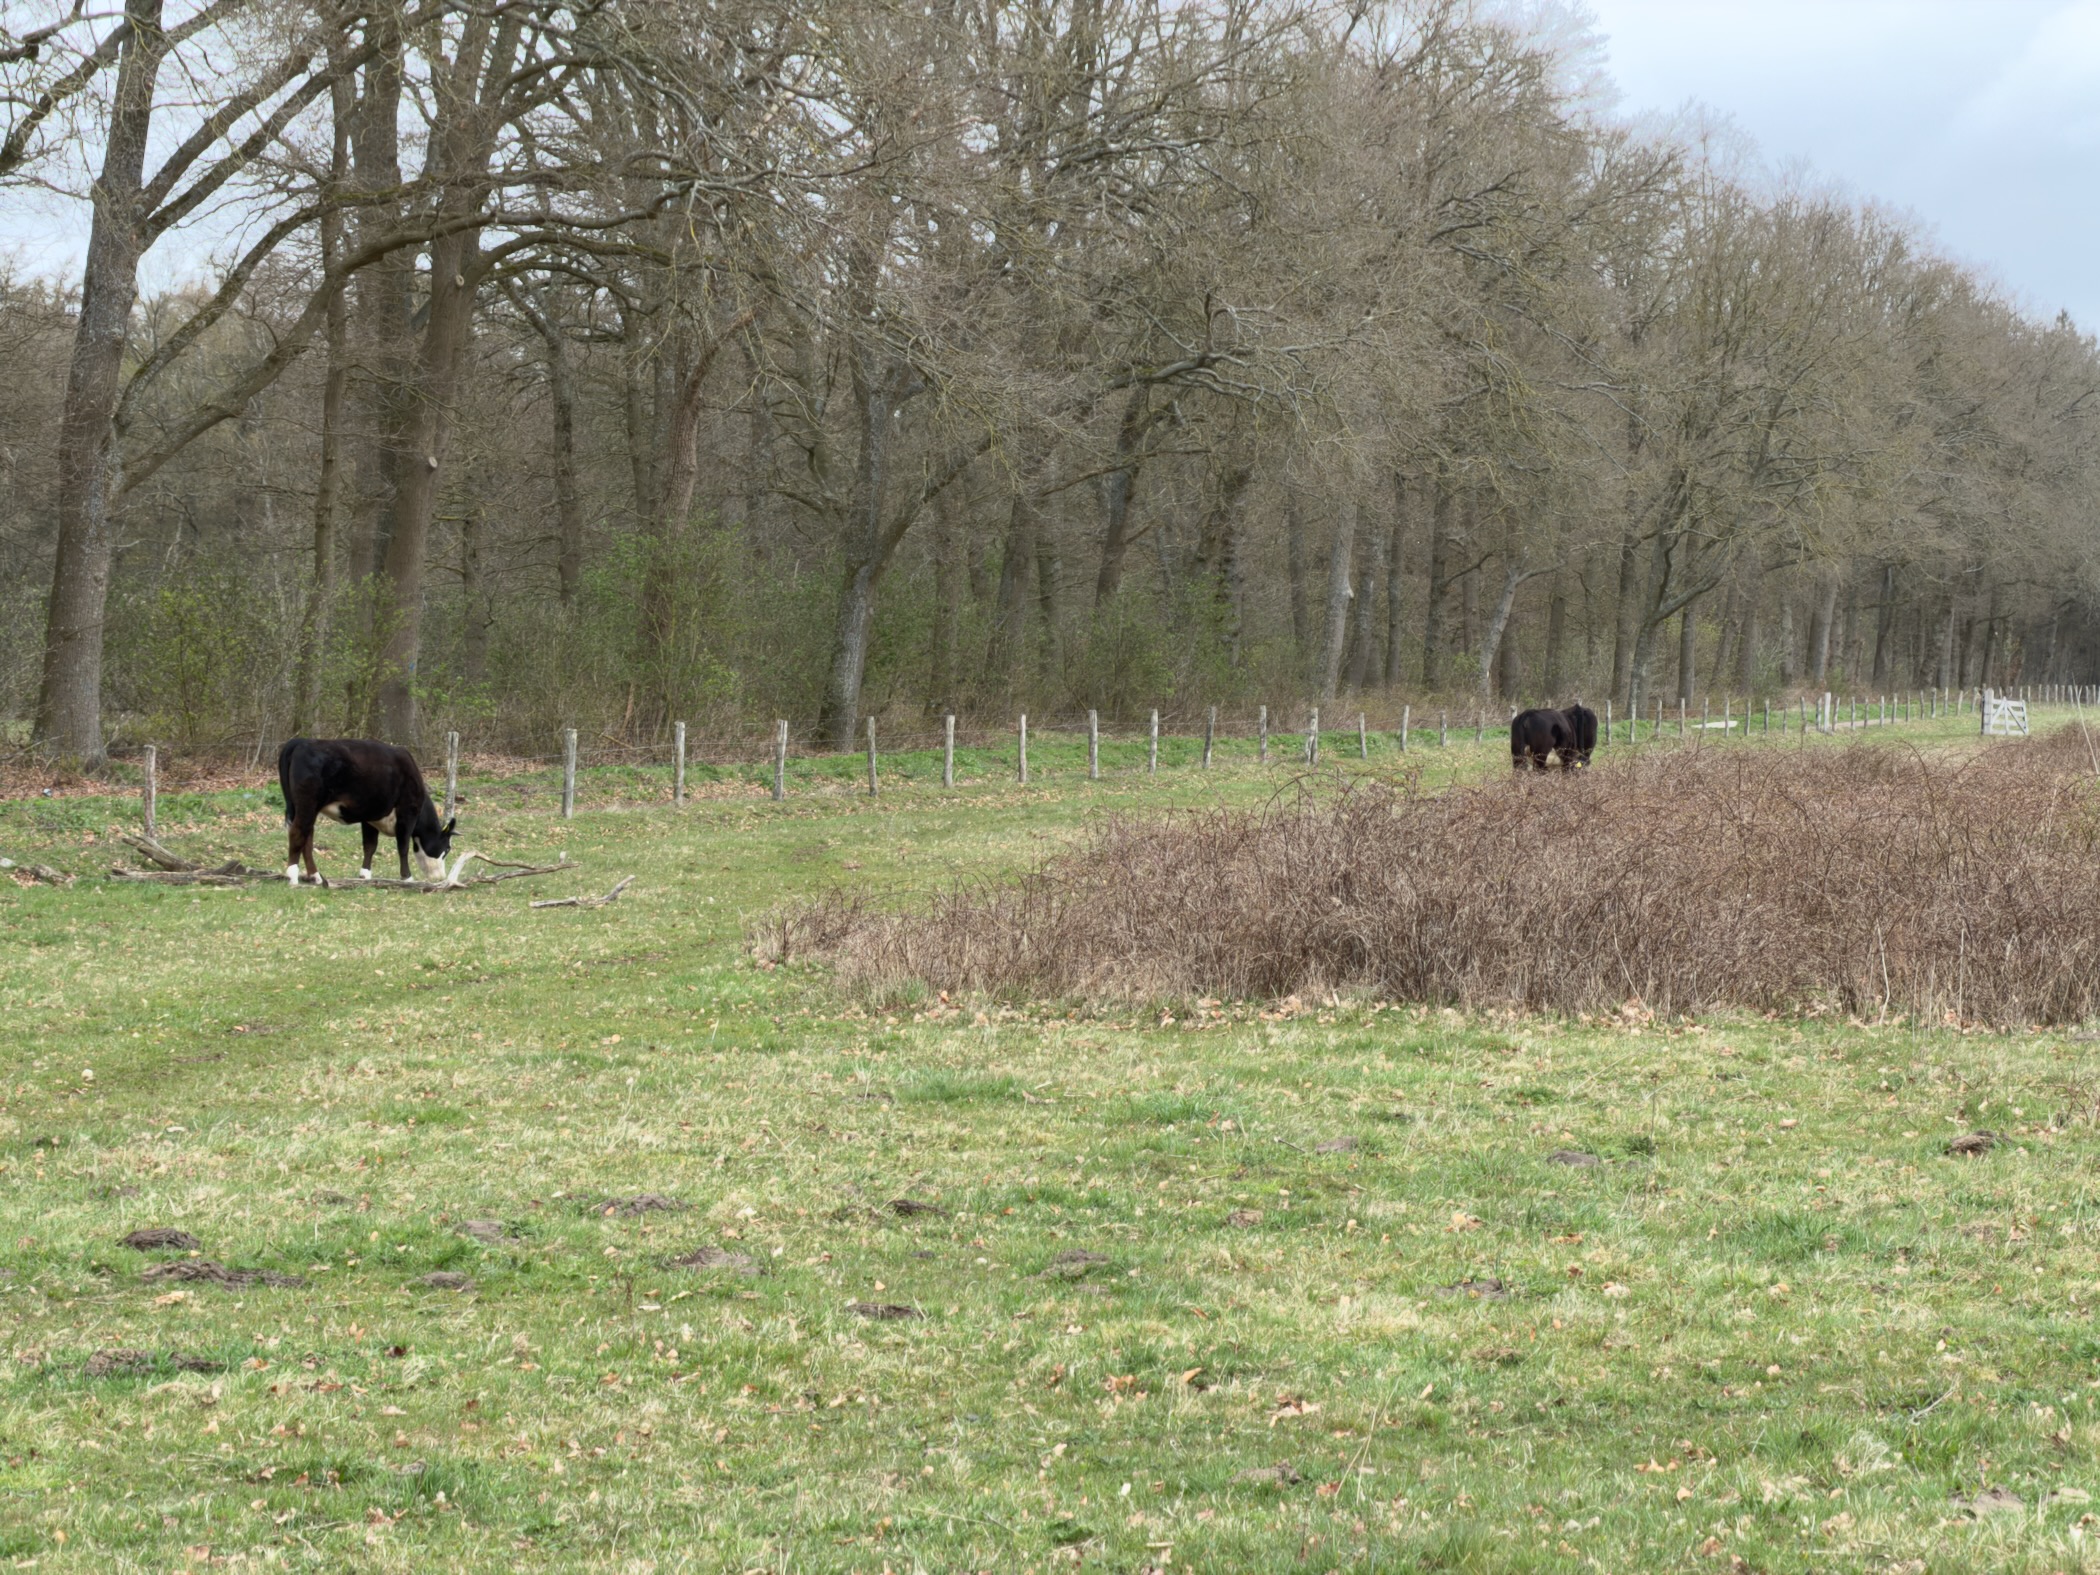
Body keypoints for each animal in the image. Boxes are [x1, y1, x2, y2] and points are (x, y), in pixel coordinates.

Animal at [278, 738, 456, 886]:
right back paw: (293, 877)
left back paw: (316, 876)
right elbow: (403, 846)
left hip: (308, 808)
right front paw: (407, 877)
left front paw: (365, 874)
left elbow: (370, 846)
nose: (441, 877)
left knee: (307, 838)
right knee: (297, 833)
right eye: (447, 849)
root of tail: (301, 741)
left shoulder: (371, 817)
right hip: (307, 804)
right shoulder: (407, 812)